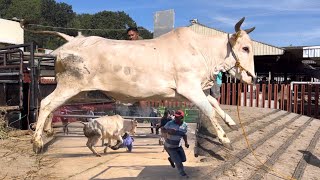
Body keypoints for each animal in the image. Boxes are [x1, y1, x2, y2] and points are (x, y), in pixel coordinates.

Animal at [21, 16, 256, 153]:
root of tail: (73, 39)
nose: (252, 78)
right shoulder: (189, 88)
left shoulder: (189, 91)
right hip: (71, 85)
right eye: (245, 48)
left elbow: (214, 103)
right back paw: (37, 141)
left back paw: (47, 130)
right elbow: (209, 109)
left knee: (52, 104)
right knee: (47, 102)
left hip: (73, 89)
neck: (201, 51)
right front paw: (225, 139)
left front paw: (230, 122)